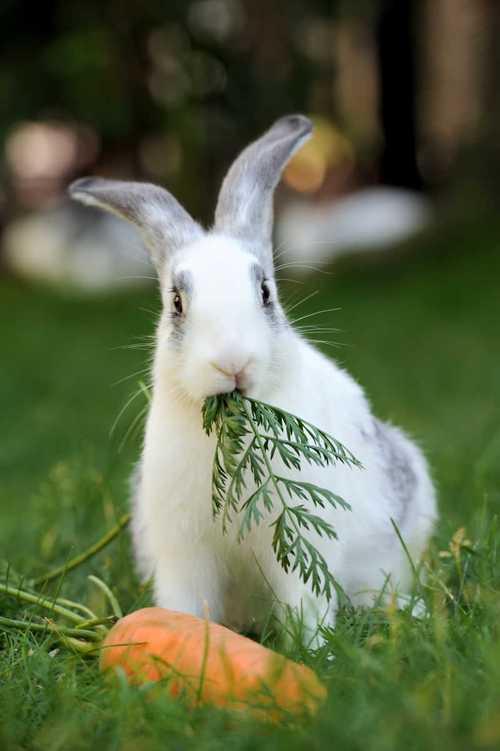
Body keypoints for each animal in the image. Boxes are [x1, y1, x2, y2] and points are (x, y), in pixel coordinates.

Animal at [70, 114, 438, 636]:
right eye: (176, 303)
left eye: (265, 291)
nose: (232, 362)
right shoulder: (183, 554)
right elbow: (184, 605)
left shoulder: (302, 548)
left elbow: (307, 602)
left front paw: (314, 648)